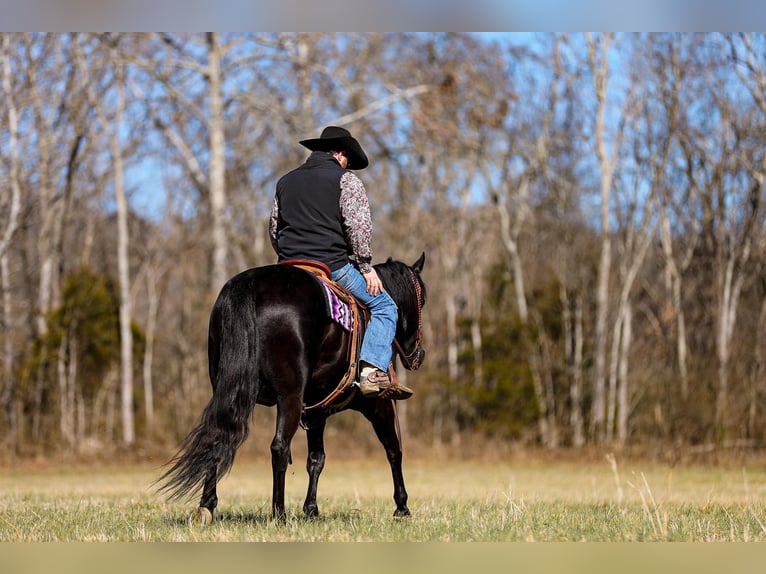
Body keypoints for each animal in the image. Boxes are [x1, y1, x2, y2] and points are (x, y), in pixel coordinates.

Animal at [159, 254, 428, 524]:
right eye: (422, 299)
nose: (419, 354)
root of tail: (251, 284)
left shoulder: (316, 411)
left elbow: (316, 459)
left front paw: (311, 509)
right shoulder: (378, 404)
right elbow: (393, 449)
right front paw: (402, 507)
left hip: (226, 390)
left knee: (217, 436)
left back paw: (206, 507)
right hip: (290, 396)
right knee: (279, 446)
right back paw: (279, 513)